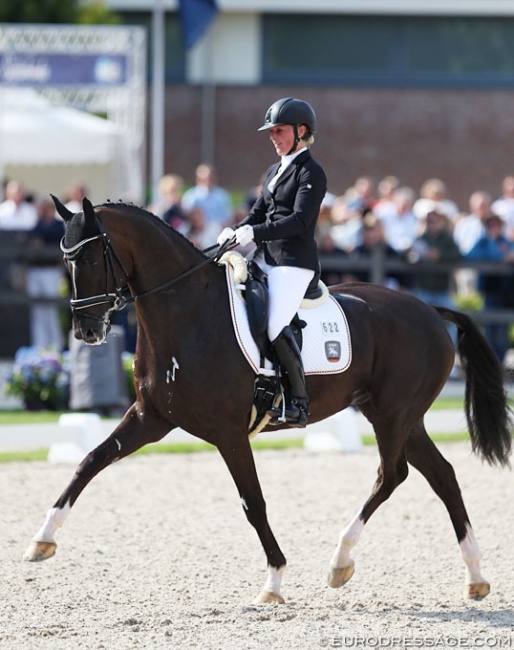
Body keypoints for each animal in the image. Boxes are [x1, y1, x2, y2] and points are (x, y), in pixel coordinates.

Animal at [23, 196, 512, 605]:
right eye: (64, 259)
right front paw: (41, 540)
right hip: (399, 416)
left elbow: (252, 503)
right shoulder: (151, 418)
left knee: (391, 476)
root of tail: (429, 310)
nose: (87, 331)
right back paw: (475, 577)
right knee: (443, 476)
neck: (187, 314)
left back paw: (340, 562)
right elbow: (90, 460)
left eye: (90, 257)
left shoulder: (228, 433)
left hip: (393, 414)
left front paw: (274, 581)